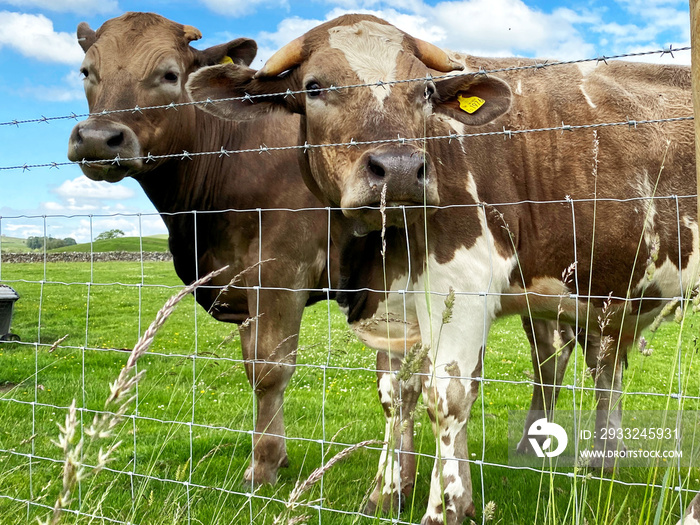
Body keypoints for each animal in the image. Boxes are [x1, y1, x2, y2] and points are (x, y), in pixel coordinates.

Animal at [186, 14, 700, 524]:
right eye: (314, 87)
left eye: (426, 91)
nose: (398, 170)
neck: (381, 250)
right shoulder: (397, 306)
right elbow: (397, 395)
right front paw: (386, 494)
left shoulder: (464, 289)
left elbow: (446, 397)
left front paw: (446, 507)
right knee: (600, 365)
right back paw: (602, 465)